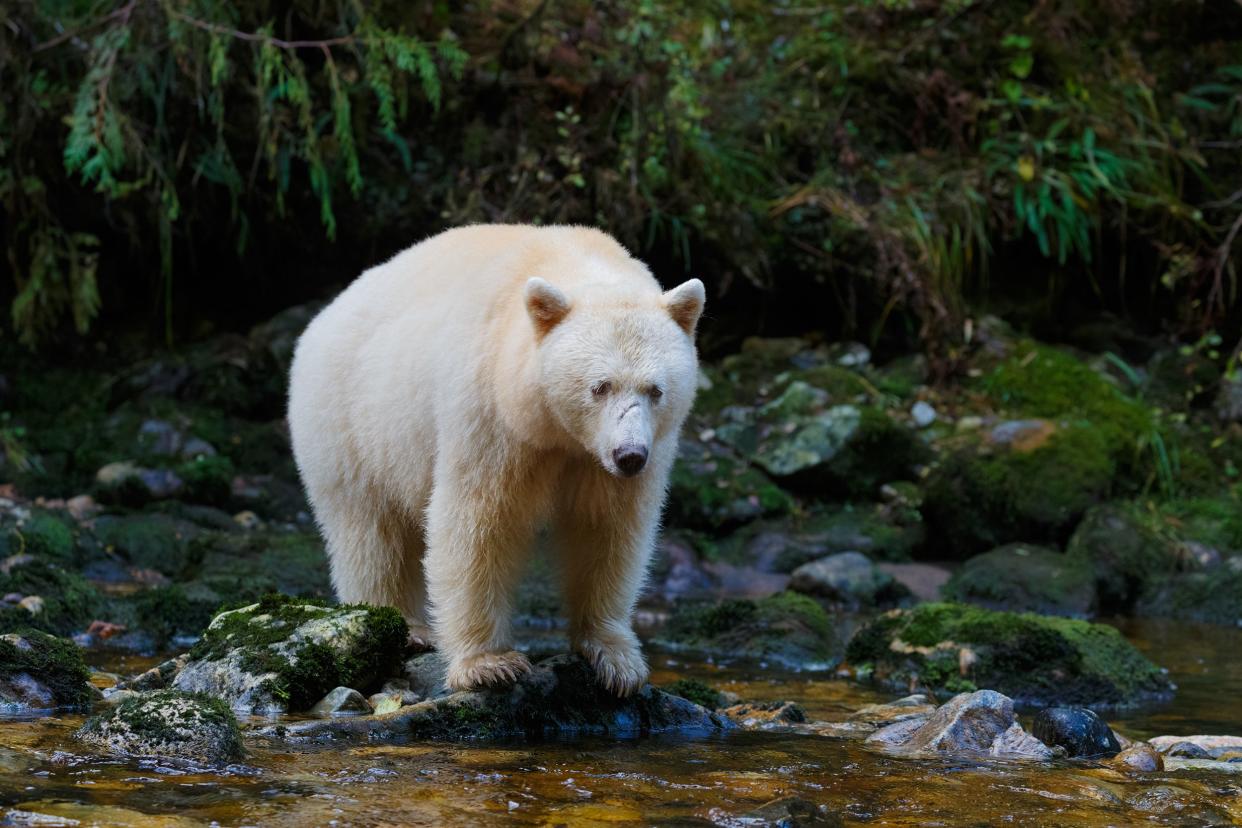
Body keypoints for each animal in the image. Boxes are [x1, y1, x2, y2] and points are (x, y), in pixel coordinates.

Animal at [284, 223, 705, 695]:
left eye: (655, 390)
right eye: (600, 386)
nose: (629, 455)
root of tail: (324, 315)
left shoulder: (614, 457)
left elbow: (607, 527)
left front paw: (615, 658)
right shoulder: (490, 411)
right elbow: (479, 522)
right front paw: (488, 664)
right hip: (350, 421)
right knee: (369, 532)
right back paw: (403, 626)